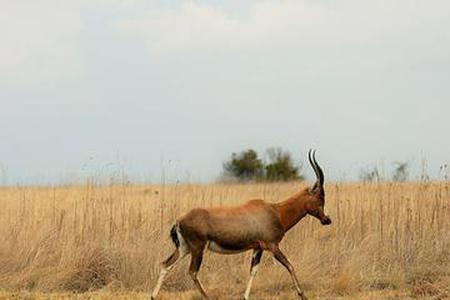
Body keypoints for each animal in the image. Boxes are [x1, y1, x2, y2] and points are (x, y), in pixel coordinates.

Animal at [150, 150, 330, 300]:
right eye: (320, 196)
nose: (327, 220)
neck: (275, 211)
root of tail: (179, 220)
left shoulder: (258, 248)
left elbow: (253, 271)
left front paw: (245, 296)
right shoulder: (272, 246)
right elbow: (290, 265)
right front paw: (303, 295)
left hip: (184, 248)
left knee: (166, 265)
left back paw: (153, 296)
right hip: (197, 248)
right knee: (192, 272)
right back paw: (207, 297)